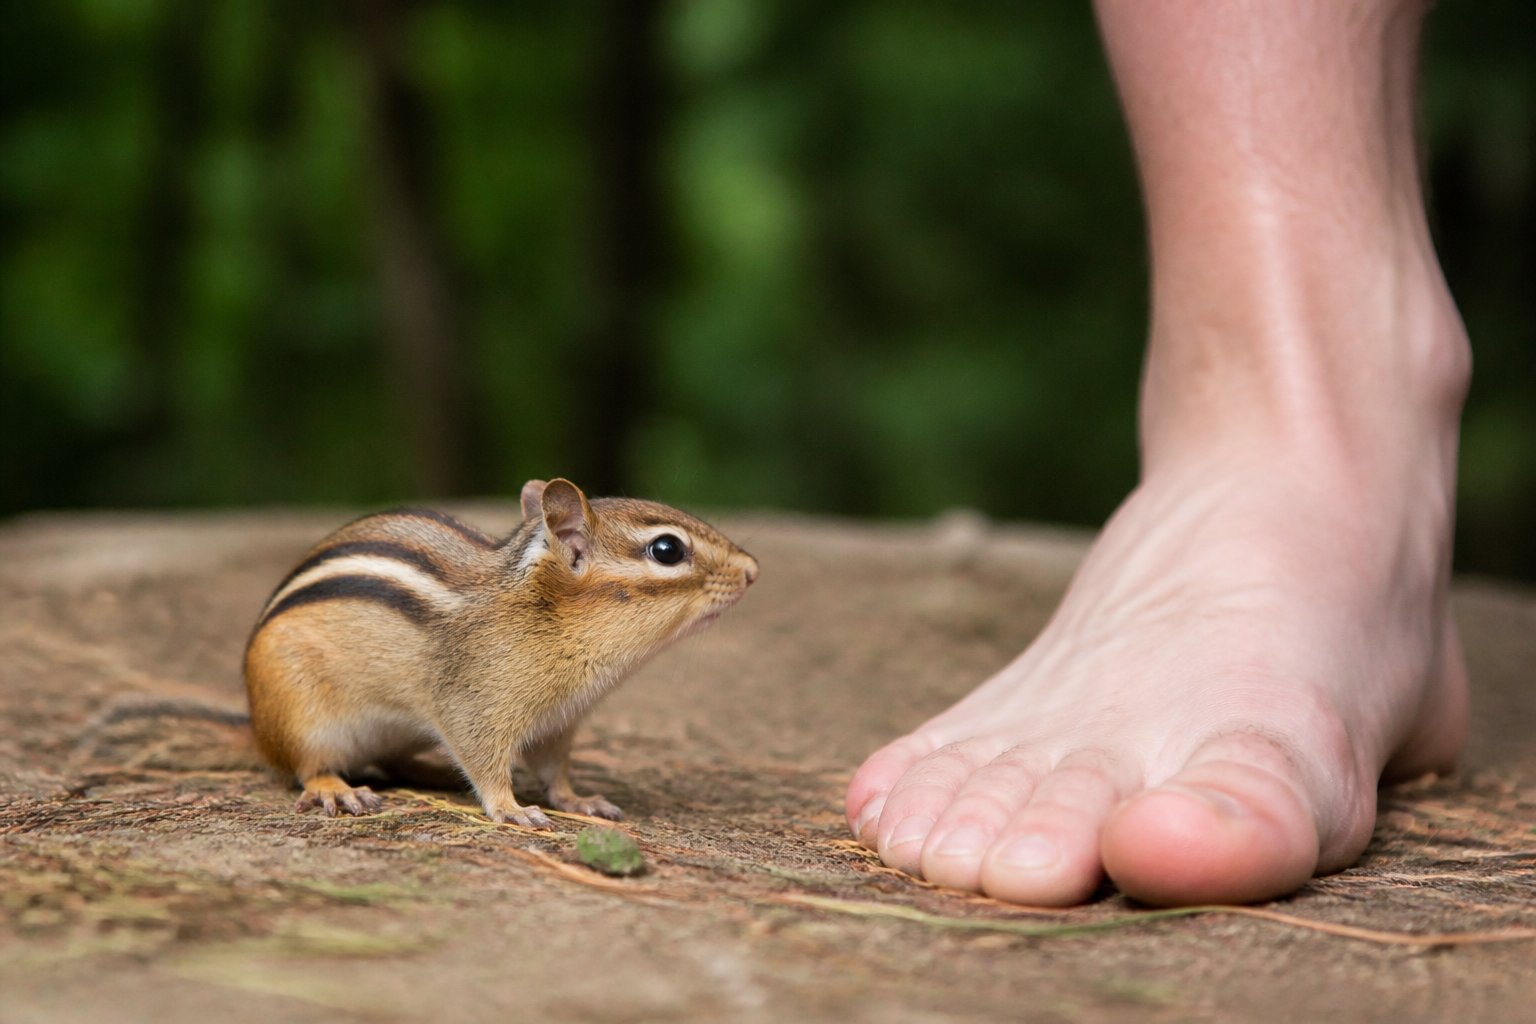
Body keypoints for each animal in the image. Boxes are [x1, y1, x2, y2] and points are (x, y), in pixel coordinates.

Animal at [243, 478, 758, 828]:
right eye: (667, 549)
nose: (753, 570)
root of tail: (258, 729)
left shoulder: (559, 723)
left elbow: (555, 770)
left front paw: (578, 800)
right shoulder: (473, 707)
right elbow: (485, 762)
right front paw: (512, 808)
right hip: (303, 717)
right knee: (307, 767)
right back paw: (337, 788)